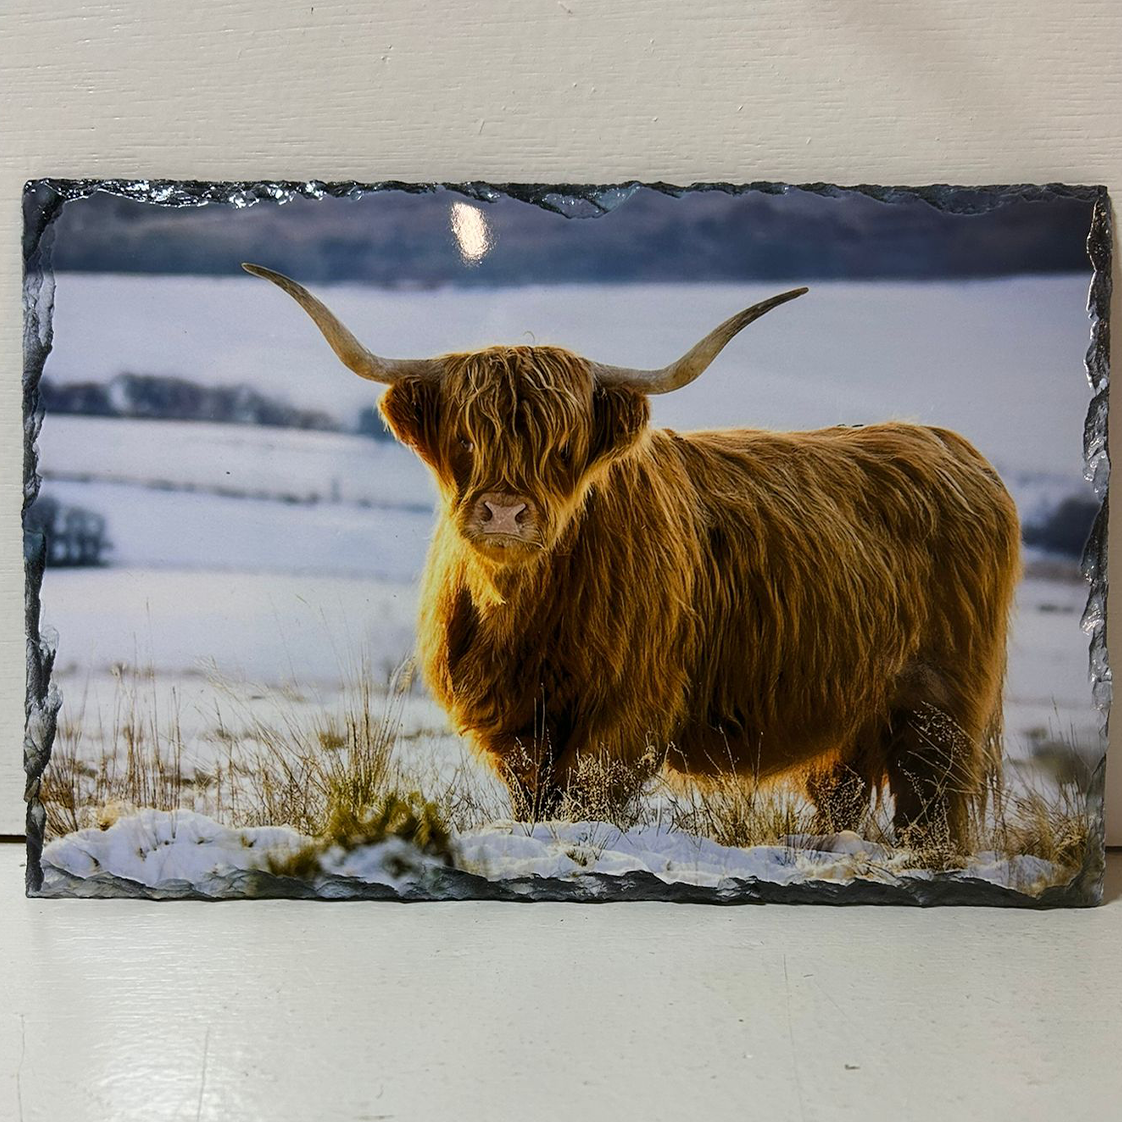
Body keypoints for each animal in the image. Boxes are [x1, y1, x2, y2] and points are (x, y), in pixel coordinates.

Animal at [245, 263, 1020, 850]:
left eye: (561, 449)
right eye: (466, 439)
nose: (504, 513)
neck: (521, 614)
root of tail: (949, 444)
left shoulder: (626, 712)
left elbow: (590, 797)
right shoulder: (514, 724)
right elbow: (535, 801)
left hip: (941, 710)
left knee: (930, 808)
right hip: (855, 718)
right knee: (844, 791)